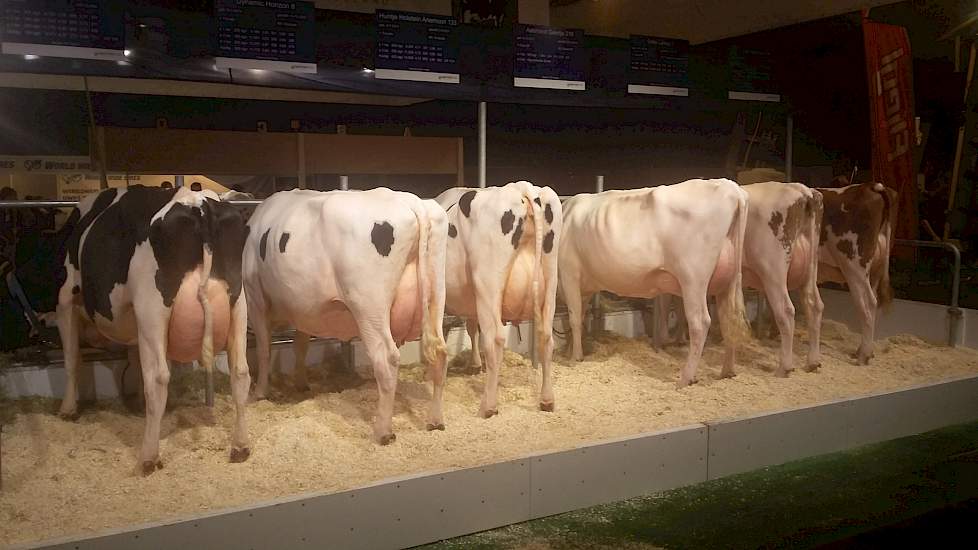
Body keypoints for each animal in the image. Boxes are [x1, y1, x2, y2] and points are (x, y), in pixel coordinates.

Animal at [244, 188, 446, 446]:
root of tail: (411, 201)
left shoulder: (254, 297)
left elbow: (263, 349)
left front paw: (260, 391)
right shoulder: (305, 308)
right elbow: (300, 345)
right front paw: (301, 383)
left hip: (368, 304)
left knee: (387, 358)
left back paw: (383, 431)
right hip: (436, 294)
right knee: (439, 351)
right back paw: (435, 420)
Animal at [432, 181, 560, 418]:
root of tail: (521, 188)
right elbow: (471, 327)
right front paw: (474, 364)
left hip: (487, 284)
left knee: (495, 340)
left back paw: (488, 406)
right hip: (550, 284)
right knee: (546, 337)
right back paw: (547, 400)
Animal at [556, 180, 748, 388]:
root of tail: (731, 187)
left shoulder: (569, 273)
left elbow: (574, 319)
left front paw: (575, 357)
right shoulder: (585, 286)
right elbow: (580, 315)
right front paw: (570, 350)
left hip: (693, 278)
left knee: (700, 322)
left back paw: (685, 378)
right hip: (728, 281)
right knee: (729, 319)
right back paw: (727, 371)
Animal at [812, 179, 896, 364]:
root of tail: (870, 186)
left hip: (854, 266)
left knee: (869, 303)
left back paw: (863, 355)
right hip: (874, 271)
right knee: (872, 306)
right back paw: (865, 350)